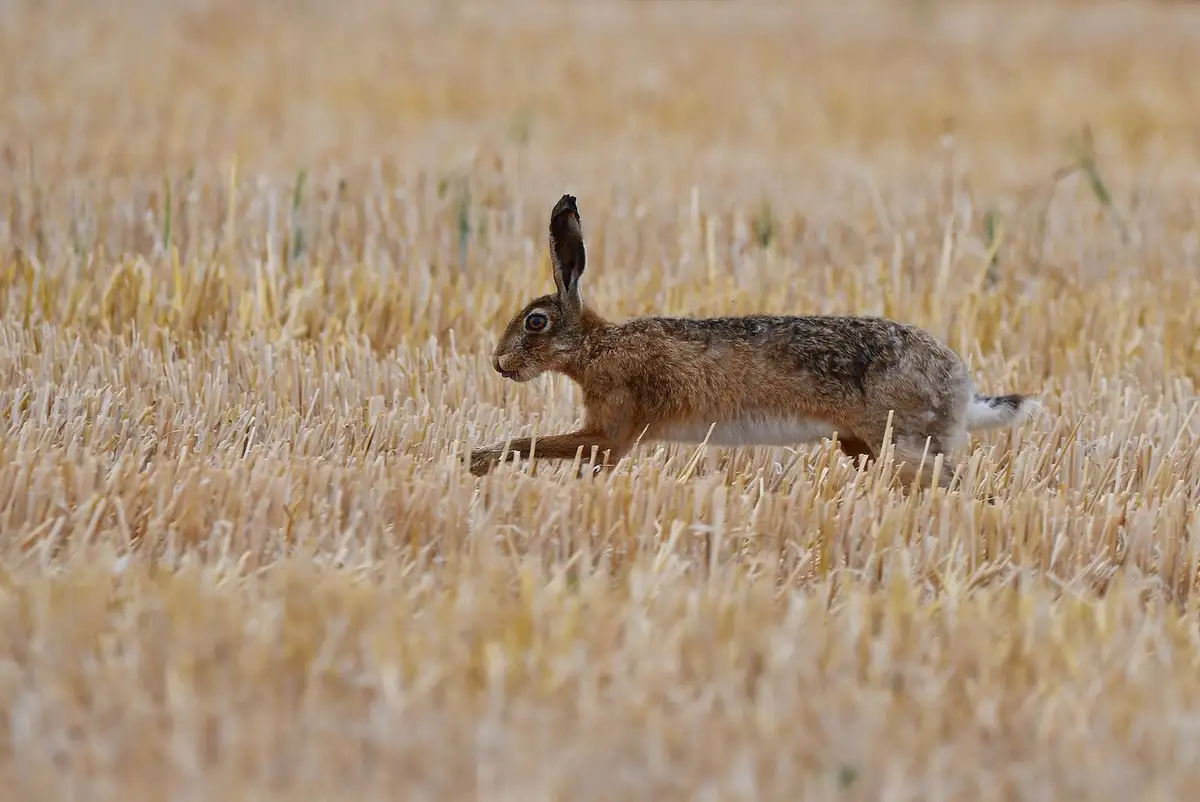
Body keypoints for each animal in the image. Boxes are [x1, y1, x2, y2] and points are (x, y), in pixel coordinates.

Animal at [467, 193, 1039, 491]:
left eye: (535, 322)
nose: (499, 364)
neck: (593, 347)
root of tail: (961, 386)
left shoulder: (611, 430)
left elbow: (539, 443)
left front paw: (479, 460)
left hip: (899, 439)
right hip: (859, 443)